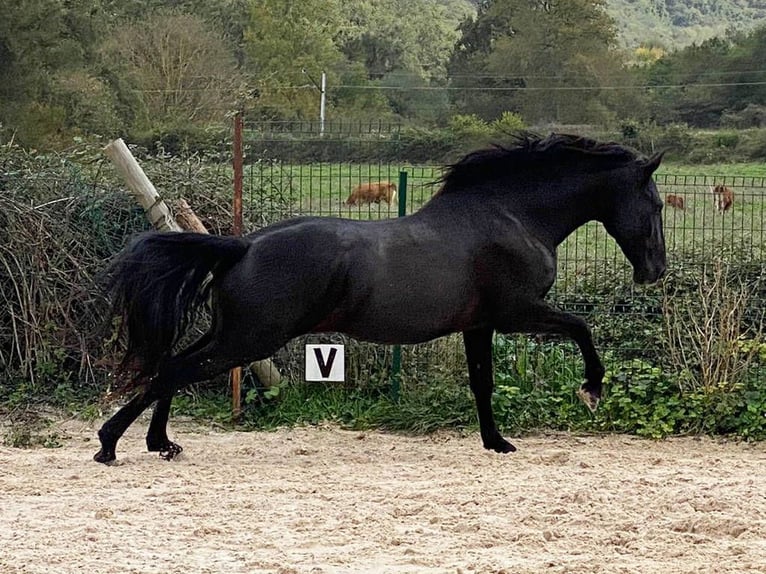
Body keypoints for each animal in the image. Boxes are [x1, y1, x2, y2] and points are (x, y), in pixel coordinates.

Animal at [93, 133, 664, 466]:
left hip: (230, 334)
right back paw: (111, 444)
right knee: (172, 370)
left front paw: (496, 443)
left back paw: (159, 443)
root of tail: (244, 245)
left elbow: (482, 382)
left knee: (170, 365)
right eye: (656, 203)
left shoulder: (479, 325)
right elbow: (582, 328)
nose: (655, 271)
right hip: (247, 339)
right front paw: (592, 390)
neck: (511, 215)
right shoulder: (517, 313)